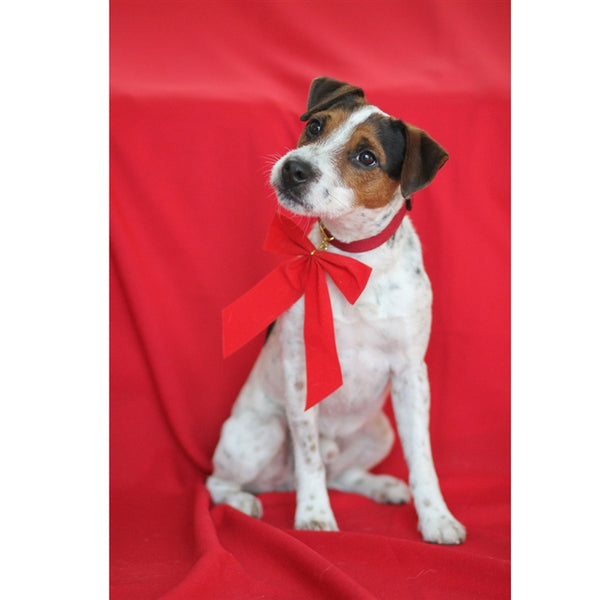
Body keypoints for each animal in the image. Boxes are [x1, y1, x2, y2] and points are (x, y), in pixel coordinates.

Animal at [209, 76, 466, 544]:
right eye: (314, 127)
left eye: (367, 157)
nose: (294, 168)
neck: (352, 262)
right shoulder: (302, 373)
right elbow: (309, 457)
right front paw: (313, 515)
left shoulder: (410, 376)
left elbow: (423, 459)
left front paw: (436, 518)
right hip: (259, 432)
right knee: (220, 481)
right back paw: (243, 501)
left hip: (379, 432)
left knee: (342, 474)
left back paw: (381, 486)